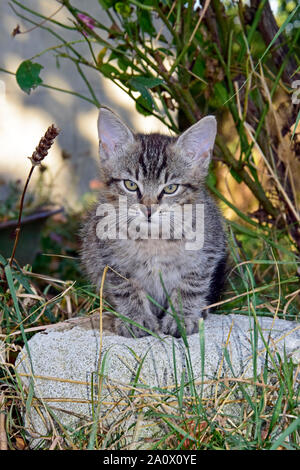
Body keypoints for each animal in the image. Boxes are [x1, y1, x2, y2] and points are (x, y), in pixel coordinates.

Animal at [81, 109, 226, 338]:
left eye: (171, 188)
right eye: (130, 185)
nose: (148, 209)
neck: (154, 238)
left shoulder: (207, 253)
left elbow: (190, 286)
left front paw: (181, 318)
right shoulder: (108, 258)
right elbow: (126, 287)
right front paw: (136, 318)